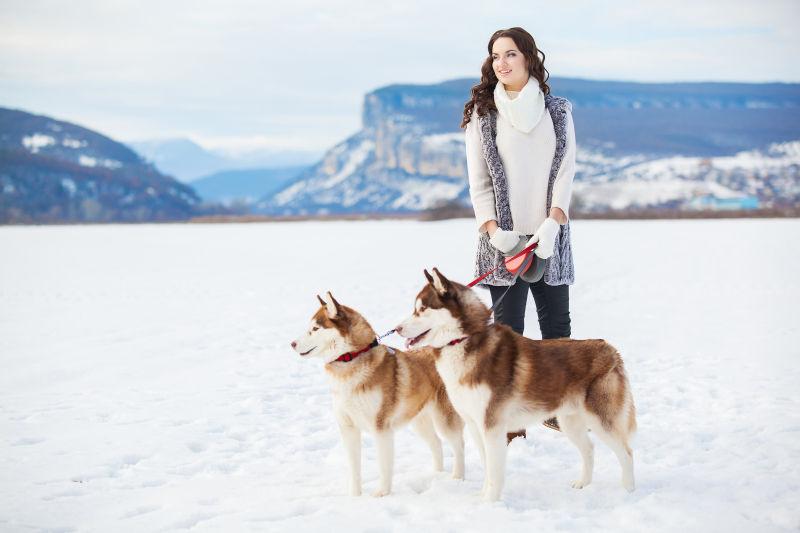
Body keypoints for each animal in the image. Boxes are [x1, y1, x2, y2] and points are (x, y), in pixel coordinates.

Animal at [290, 290, 466, 494]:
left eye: (316, 328)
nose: (292, 343)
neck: (350, 359)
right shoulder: (348, 428)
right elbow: (354, 468)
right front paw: (355, 496)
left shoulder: (381, 428)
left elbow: (383, 465)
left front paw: (382, 494)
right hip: (419, 421)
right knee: (436, 443)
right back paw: (436, 475)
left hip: (445, 419)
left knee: (458, 445)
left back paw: (458, 478)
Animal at [396, 268, 636, 500]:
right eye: (415, 309)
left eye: (422, 309)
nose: (397, 328)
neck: (462, 341)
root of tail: (610, 349)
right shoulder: (475, 425)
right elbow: (486, 466)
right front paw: (481, 496)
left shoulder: (492, 426)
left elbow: (494, 471)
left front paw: (490, 502)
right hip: (570, 421)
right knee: (589, 449)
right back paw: (583, 483)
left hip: (601, 420)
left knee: (627, 452)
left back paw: (628, 491)